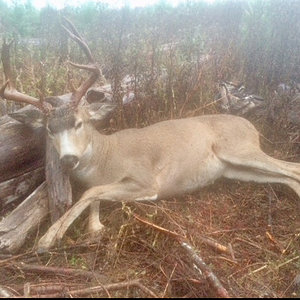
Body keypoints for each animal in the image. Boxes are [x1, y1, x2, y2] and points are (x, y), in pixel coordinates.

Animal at [1, 19, 300, 253]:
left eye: (79, 123)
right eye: (50, 129)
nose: (67, 159)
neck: (106, 156)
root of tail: (252, 126)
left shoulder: (146, 181)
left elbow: (92, 191)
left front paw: (48, 238)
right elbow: (94, 195)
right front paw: (94, 227)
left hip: (238, 148)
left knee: (292, 167)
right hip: (235, 169)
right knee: (285, 174)